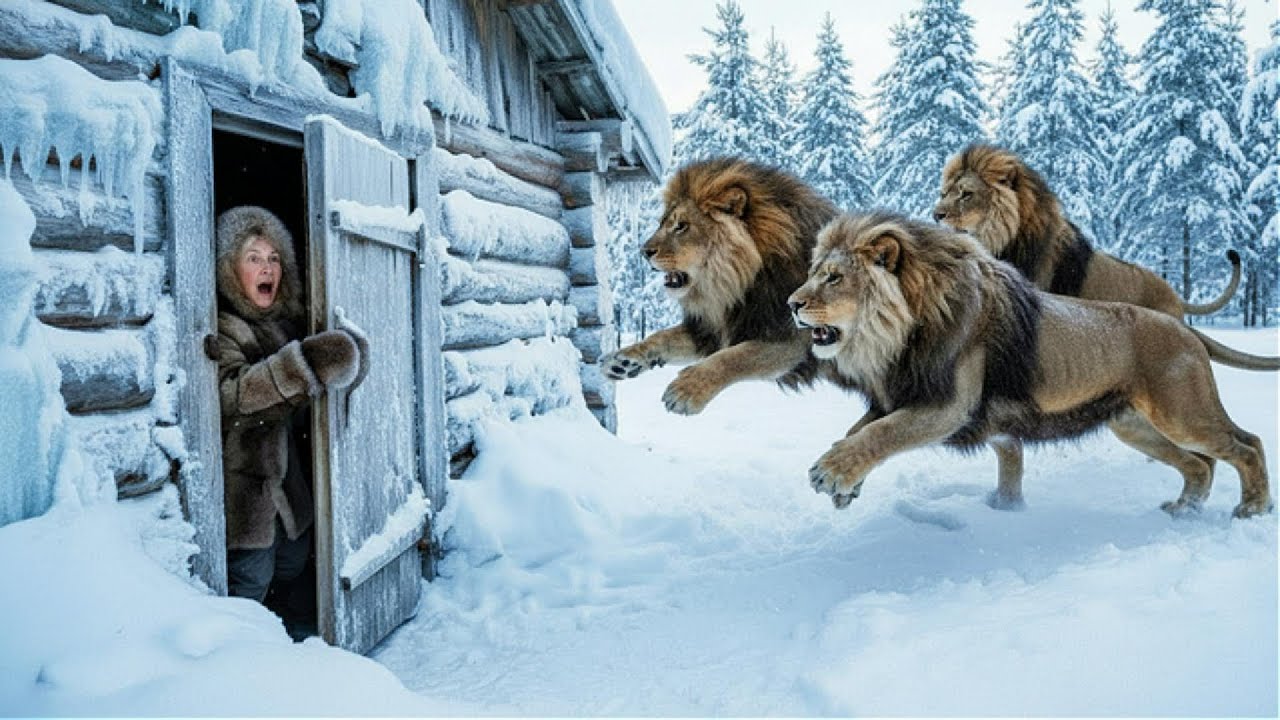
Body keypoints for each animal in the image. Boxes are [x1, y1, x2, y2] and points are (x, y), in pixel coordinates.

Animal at [599, 157, 837, 414]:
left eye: (681, 226)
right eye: (662, 223)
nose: (644, 252)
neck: (737, 286)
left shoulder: (793, 338)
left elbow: (735, 356)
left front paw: (687, 389)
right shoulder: (710, 330)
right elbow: (663, 336)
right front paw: (623, 360)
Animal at [787, 212, 1272, 518]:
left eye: (834, 277)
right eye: (813, 273)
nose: (791, 304)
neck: (898, 337)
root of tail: (1183, 327)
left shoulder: (950, 406)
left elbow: (883, 433)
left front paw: (833, 473)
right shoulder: (902, 394)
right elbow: (860, 428)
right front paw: (846, 484)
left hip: (1183, 413)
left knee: (1247, 444)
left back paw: (1253, 507)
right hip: (1136, 426)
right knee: (1200, 464)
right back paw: (1184, 508)